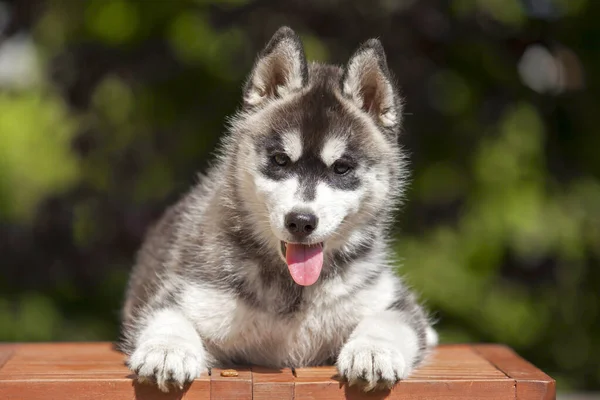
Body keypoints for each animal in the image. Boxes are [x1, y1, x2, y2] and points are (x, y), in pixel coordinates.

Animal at [118, 26, 436, 392]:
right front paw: (167, 350)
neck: (294, 290)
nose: (301, 221)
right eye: (280, 160)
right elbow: (168, 317)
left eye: (341, 168)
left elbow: (390, 320)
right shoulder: (185, 294)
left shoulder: (387, 298)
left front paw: (373, 352)